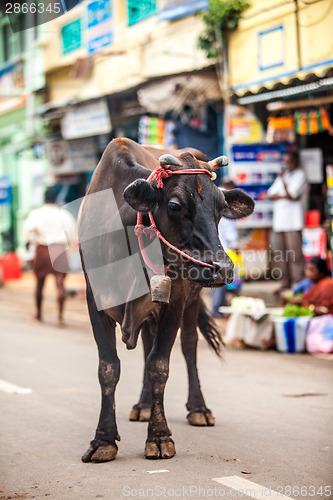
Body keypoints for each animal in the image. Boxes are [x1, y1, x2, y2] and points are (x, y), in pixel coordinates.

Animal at [78, 139, 254, 462]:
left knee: (188, 347)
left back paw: (198, 408)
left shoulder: (176, 299)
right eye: (174, 205)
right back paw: (144, 405)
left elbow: (159, 366)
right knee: (148, 345)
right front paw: (103, 440)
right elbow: (108, 368)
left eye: (221, 208)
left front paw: (159, 437)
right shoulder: (95, 301)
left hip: (192, 302)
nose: (222, 268)